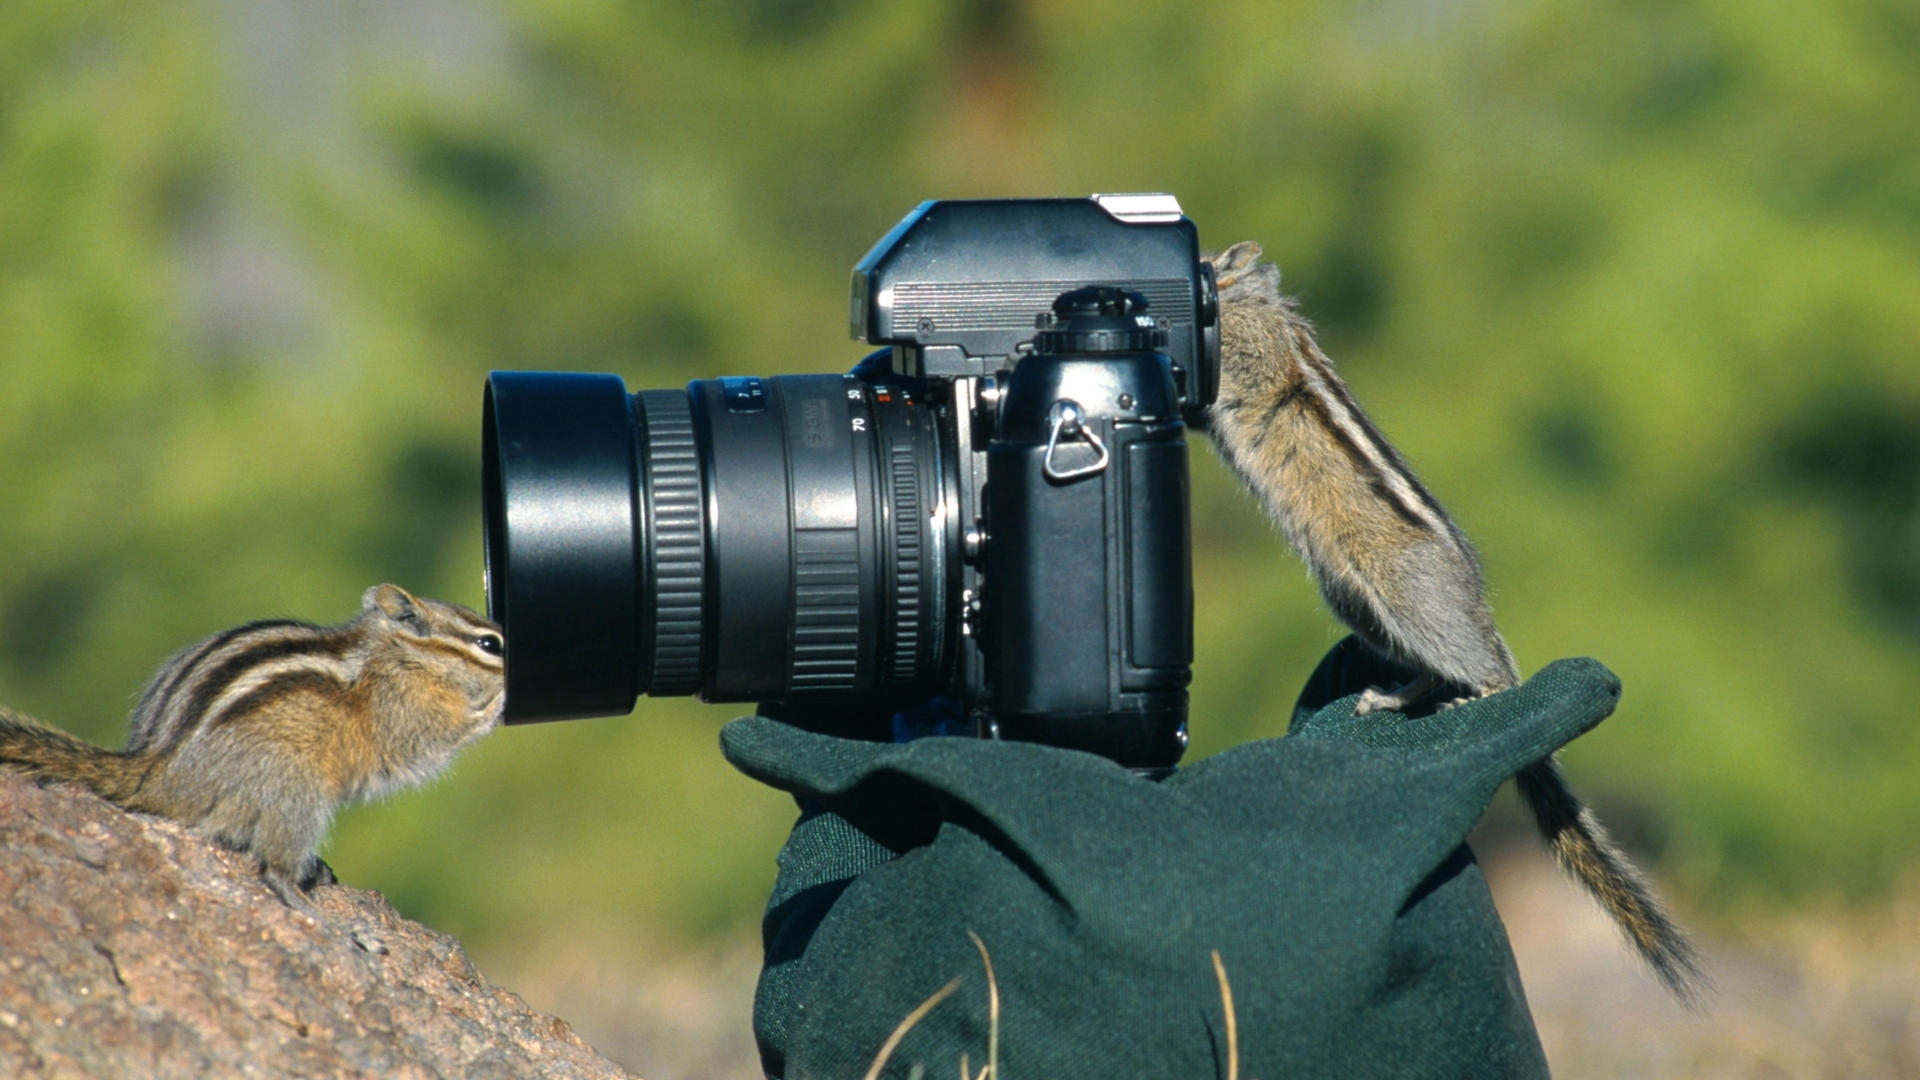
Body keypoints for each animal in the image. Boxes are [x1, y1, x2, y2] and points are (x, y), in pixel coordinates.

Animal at [0, 583, 505, 911]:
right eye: (489, 644)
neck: (400, 656)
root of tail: (156, 772)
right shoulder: (400, 711)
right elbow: (429, 739)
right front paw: (493, 706)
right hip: (295, 788)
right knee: (273, 866)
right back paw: (305, 903)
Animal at [1202, 241, 1705, 1004]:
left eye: (1208, 261)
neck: (1261, 302)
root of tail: (1478, 610)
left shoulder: (1253, 350)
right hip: (1357, 603)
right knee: (1431, 673)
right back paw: (1392, 696)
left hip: (1406, 596)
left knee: (1476, 669)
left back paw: (1482, 695)